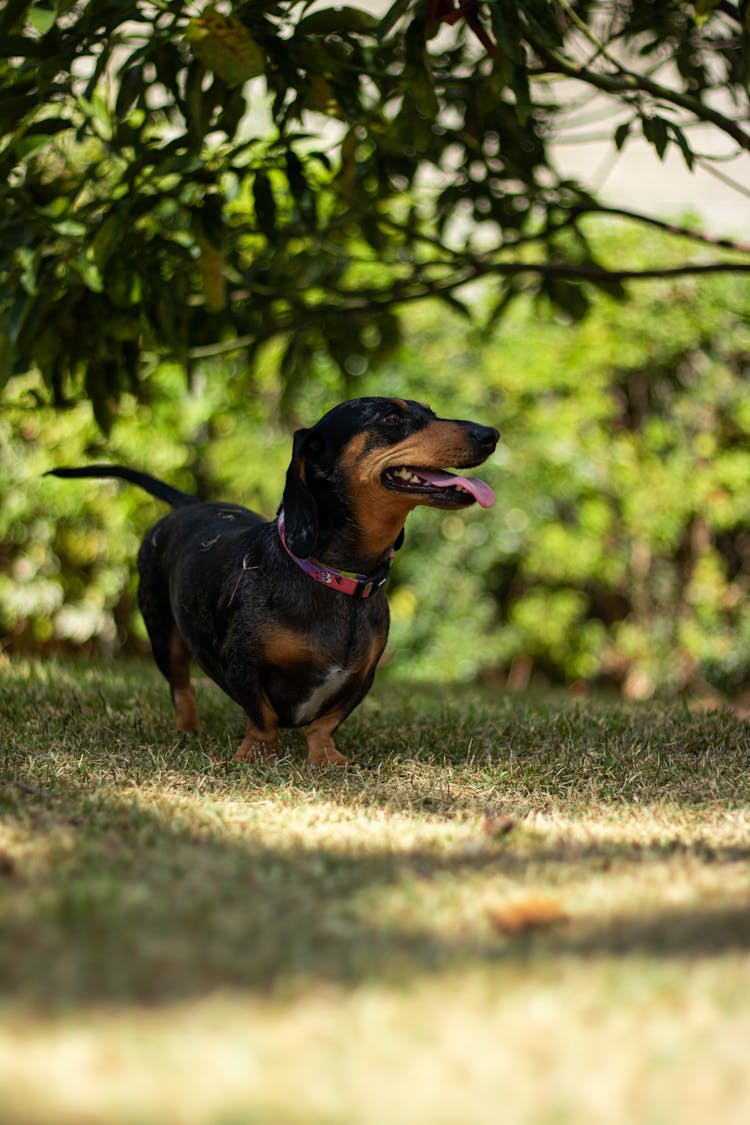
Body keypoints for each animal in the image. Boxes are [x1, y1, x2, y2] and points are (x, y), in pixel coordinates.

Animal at [51, 396, 499, 765]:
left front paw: (326, 757)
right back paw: (189, 732)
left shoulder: (362, 676)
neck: (333, 579)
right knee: (181, 688)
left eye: (431, 411)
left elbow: (325, 723)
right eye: (392, 417)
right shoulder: (241, 664)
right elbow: (262, 715)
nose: (490, 434)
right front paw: (257, 753)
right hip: (162, 632)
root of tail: (189, 505)